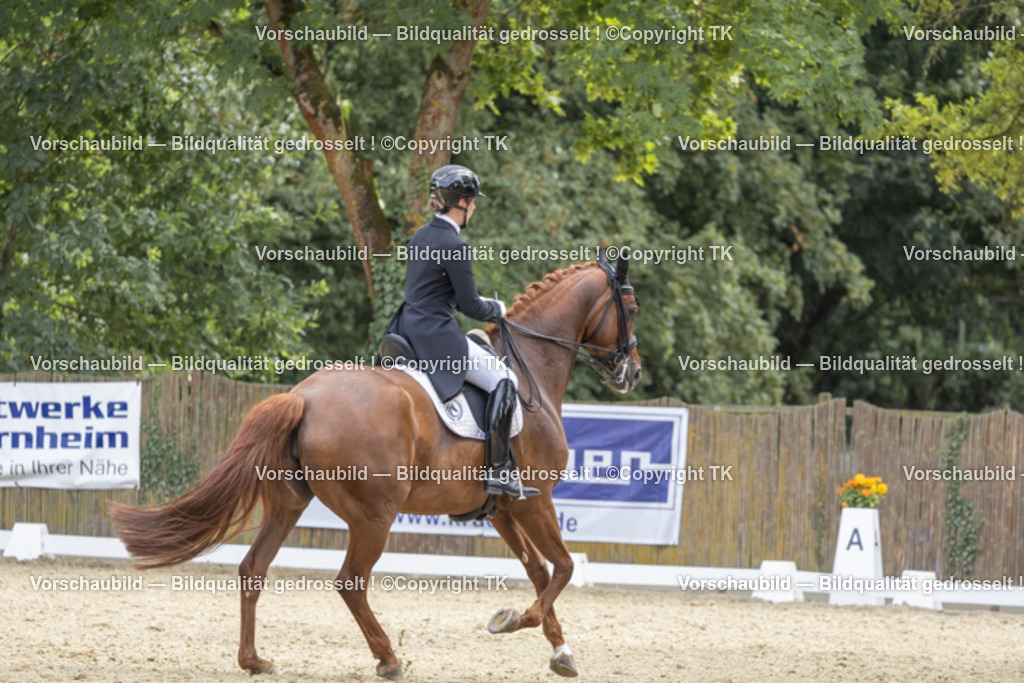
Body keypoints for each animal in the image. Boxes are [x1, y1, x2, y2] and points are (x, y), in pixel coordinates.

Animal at [110, 254, 642, 680]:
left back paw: (254, 661)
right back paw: (388, 658)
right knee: (350, 581)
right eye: (632, 309)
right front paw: (515, 620)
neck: (530, 366)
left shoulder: (504, 509)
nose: (632, 372)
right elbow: (563, 568)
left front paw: (560, 652)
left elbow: (539, 571)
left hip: (288, 504)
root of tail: (303, 397)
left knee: (253, 568)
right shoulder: (536, 500)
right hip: (374, 514)